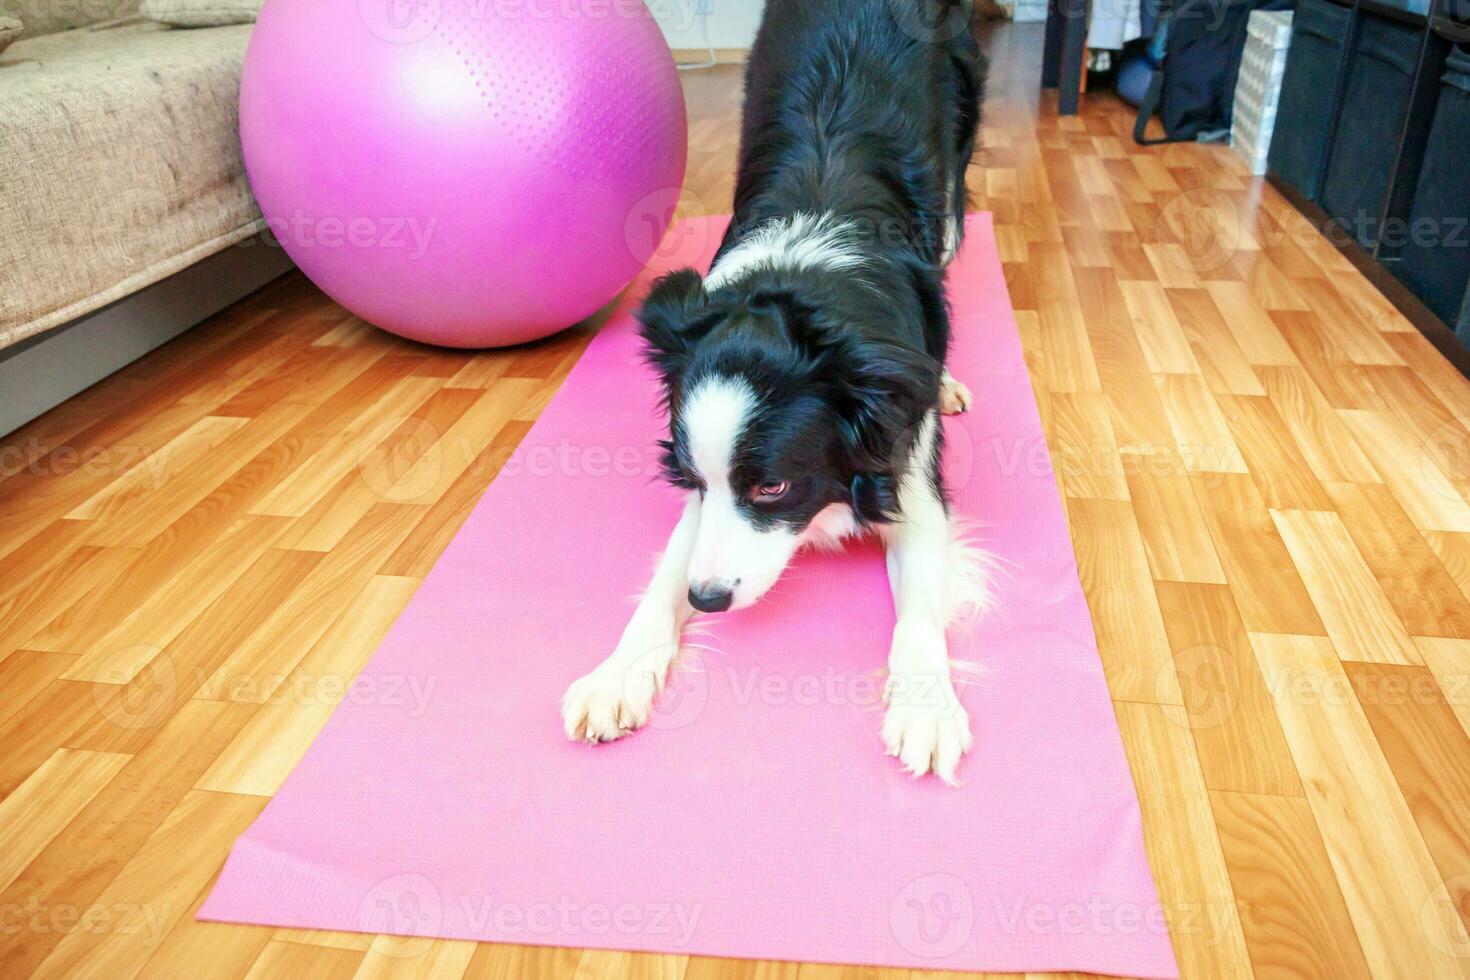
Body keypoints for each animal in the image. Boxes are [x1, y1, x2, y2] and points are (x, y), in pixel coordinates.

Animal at [561, 0, 987, 781]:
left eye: (773, 488)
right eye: (691, 479)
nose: (708, 600)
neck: (803, 283)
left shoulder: (907, 467)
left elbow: (918, 606)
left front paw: (926, 706)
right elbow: (665, 572)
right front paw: (618, 673)